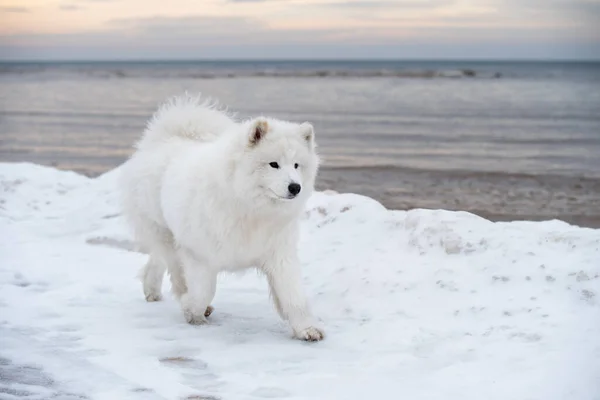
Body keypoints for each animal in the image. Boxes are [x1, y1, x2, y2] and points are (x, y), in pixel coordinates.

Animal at [120, 94, 326, 340]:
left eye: (296, 165)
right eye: (273, 164)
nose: (295, 187)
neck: (250, 209)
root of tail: (164, 139)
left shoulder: (279, 252)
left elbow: (293, 295)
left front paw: (307, 328)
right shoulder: (199, 253)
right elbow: (204, 290)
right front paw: (193, 311)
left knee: (157, 260)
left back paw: (151, 290)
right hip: (166, 233)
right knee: (174, 269)